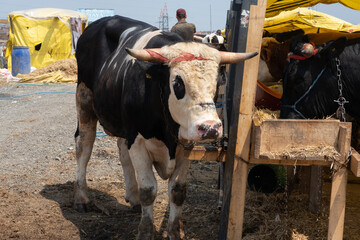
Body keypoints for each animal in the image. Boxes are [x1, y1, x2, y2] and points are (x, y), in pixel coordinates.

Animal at [74, 15, 258, 239]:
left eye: (216, 83)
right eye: (178, 83)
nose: (210, 128)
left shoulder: (186, 146)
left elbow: (177, 191)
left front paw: (175, 231)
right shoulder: (137, 140)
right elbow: (148, 190)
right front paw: (145, 231)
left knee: (122, 152)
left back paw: (132, 197)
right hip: (84, 101)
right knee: (84, 145)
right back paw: (82, 198)